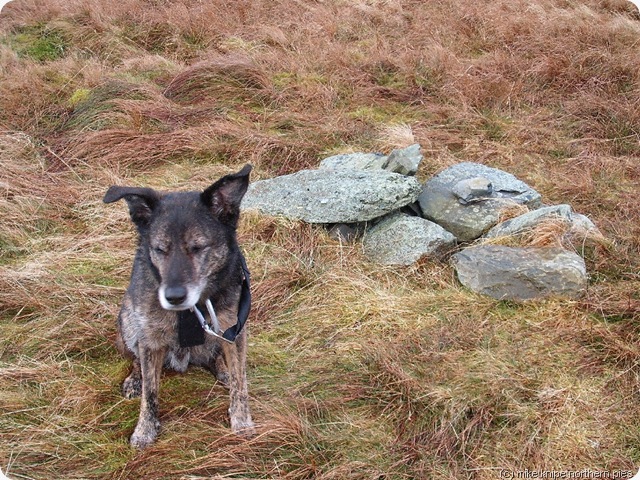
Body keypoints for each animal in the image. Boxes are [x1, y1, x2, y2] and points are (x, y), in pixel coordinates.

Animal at [103, 165, 255, 450]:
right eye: (159, 249)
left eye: (197, 247)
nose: (173, 296)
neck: (189, 313)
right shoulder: (150, 341)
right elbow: (150, 393)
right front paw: (145, 430)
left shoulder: (235, 332)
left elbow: (240, 384)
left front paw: (242, 422)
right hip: (127, 322)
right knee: (135, 360)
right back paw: (134, 379)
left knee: (216, 357)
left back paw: (222, 369)